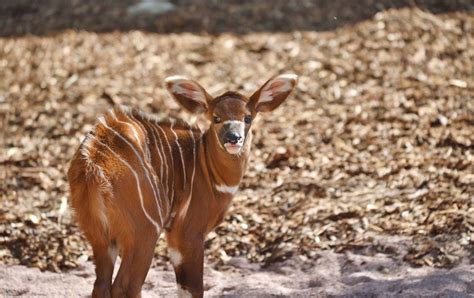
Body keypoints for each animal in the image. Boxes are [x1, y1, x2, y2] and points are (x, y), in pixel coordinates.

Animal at [67, 73, 296, 296]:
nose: (233, 138)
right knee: (126, 286)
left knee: (101, 285)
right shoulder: (187, 231)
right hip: (144, 232)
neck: (209, 169)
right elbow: (193, 288)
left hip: (100, 237)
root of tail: (92, 164)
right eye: (216, 118)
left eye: (247, 118)